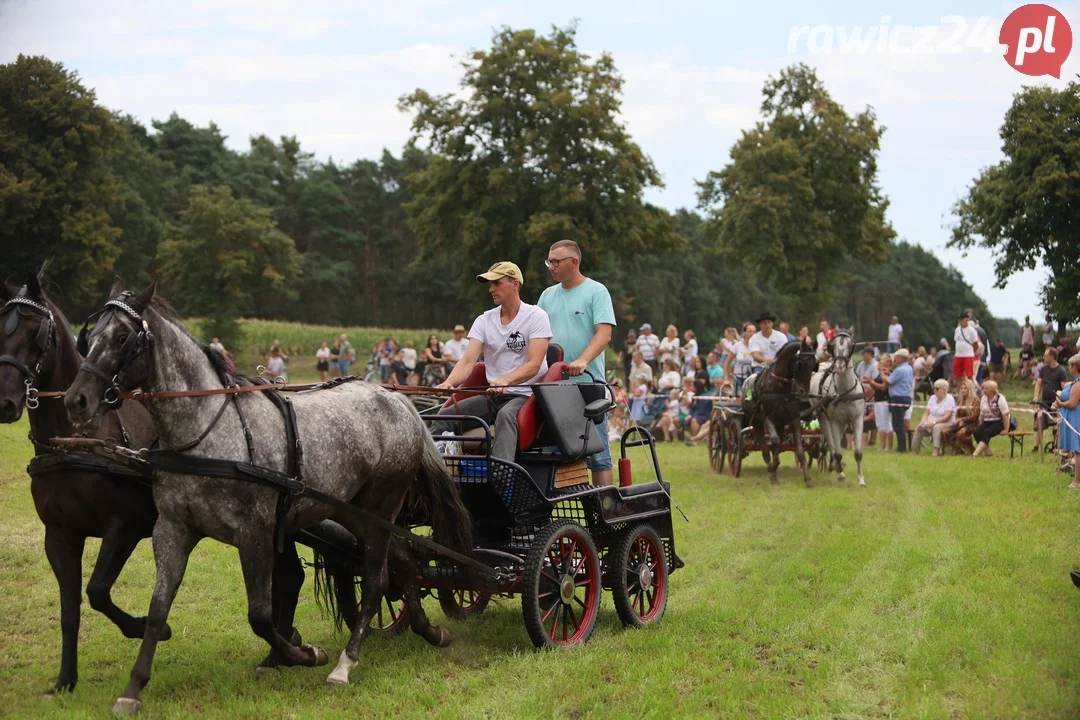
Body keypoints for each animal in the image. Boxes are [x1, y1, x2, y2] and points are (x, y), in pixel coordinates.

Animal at [65, 280, 470, 716]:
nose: (76, 401)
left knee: (377, 580)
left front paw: (304, 654)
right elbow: (158, 608)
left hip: (380, 506)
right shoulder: (172, 529)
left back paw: (346, 663)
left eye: (122, 338)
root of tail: (400, 402)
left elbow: (260, 616)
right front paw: (133, 688)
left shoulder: (254, 533)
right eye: (90, 336)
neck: (208, 433)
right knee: (406, 563)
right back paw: (430, 631)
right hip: (358, 513)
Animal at [812, 330, 868, 487]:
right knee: (830, 444)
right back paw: (835, 466)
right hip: (823, 418)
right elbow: (838, 453)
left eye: (850, 345)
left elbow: (858, 453)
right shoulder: (834, 421)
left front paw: (861, 479)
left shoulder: (857, 419)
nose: (840, 366)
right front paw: (841, 473)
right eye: (833, 346)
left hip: (843, 423)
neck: (844, 392)